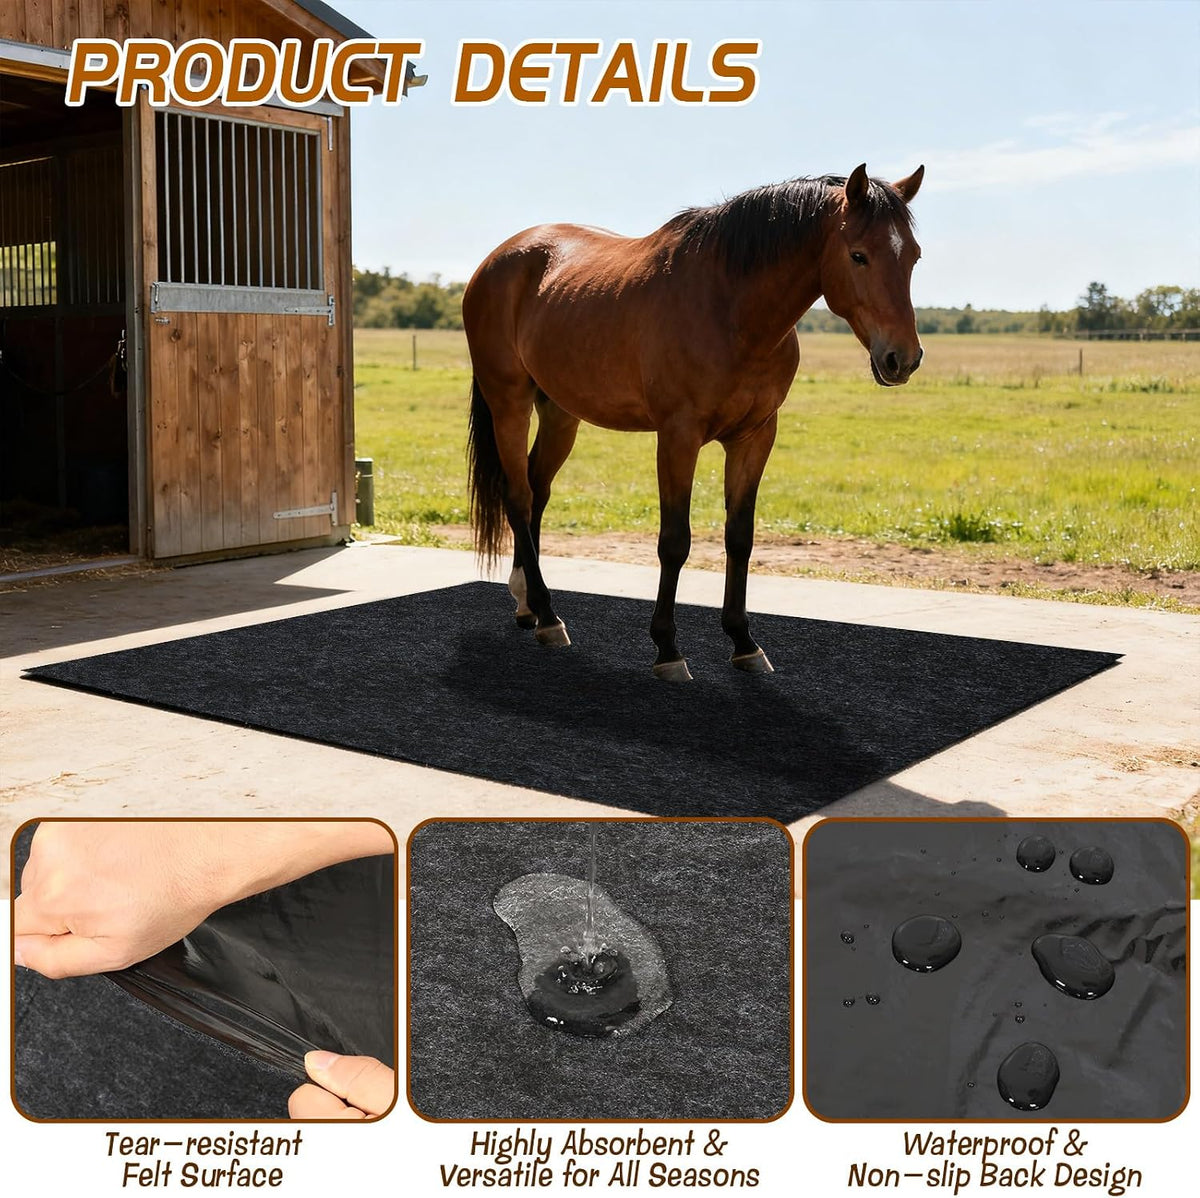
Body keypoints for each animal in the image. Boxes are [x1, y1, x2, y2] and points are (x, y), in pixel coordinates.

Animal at [463, 163, 924, 680]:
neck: (731, 310)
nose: (902, 358)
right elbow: (675, 541)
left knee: (537, 492)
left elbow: (739, 537)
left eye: (913, 256)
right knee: (519, 497)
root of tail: (498, 260)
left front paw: (744, 642)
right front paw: (667, 648)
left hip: (562, 413)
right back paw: (548, 616)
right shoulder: (677, 437)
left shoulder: (755, 437)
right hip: (509, 402)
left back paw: (530, 605)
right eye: (858, 255)